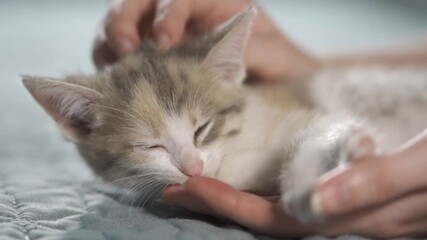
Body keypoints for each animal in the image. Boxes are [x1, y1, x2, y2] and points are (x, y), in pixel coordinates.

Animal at [22, 7, 427, 224]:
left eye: (202, 128)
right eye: (150, 146)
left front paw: (305, 186)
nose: (193, 168)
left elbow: (320, 128)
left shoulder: (306, 108)